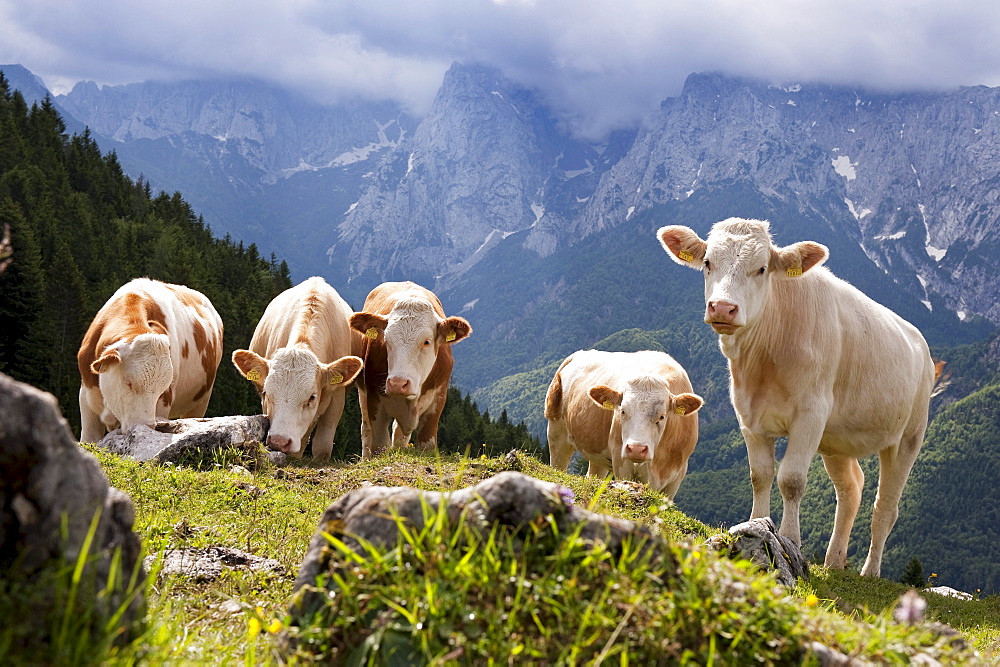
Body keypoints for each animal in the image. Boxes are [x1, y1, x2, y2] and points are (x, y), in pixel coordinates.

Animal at [78, 278, 227, 444]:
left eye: (162, 388)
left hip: (201, 401)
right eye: (128, 382)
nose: (144, 426)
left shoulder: (164, 402)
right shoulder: (85, 397)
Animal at [348, 282, 472, 460]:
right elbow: (379, 444)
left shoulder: (438, 401)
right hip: (363, 395)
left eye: (426, 341)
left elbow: (426, 444)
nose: (398, 383)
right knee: (366, 429)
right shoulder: (374, 400)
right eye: (386, 340)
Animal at [548, 350, 704, 500]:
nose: (636, 449)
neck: (658, 465)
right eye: (622, 411)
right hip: (557, 432)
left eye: (662, 416)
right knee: (557, 464)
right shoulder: (621, 462)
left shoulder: (678, 474)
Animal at [656, 219, 936, 580]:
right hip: (837, 440)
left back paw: (870, 572)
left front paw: (790, 540)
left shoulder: (810, 415)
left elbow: (791, 480)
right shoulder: (749, 417)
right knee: (851, 490)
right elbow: (759, 475)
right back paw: (834, 561)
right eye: (707, 263)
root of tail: (922, 346)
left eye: (762, 268)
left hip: (907, 437)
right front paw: (756, 524)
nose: (723, 308)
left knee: (885, 506)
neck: (764, 361)